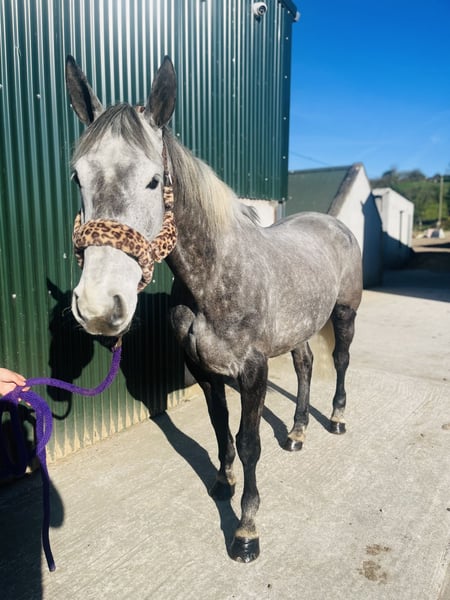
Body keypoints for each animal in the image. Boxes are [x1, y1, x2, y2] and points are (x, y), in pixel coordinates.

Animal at [65, 55, 363, 563]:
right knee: (305, 365)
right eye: (77, 177)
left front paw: (246, 530)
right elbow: (220, 428)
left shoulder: (253, 372)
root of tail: (333, 224)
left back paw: (336, 420)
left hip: (344, 314)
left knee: (339, 360)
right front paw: (223, 484)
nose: (99, 306)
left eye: (154, 180)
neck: (216, 280)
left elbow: (248, 442)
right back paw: (297, 433)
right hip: (300, 327)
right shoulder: (204, 372)